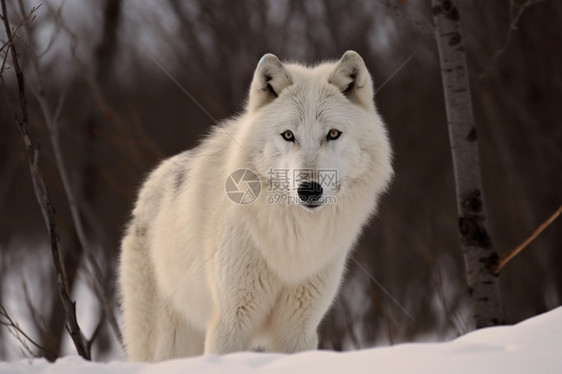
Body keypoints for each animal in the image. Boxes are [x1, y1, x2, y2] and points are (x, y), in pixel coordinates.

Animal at [118, 51, 390, 360]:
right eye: (288, 135)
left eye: (333, 134)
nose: (309, 190)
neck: (292, 241)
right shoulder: (229, 323)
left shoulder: (298, 330)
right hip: (168, 340)